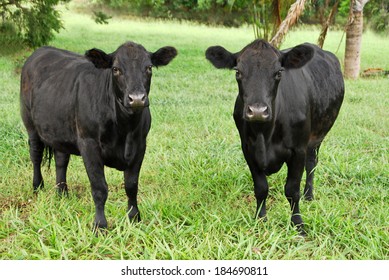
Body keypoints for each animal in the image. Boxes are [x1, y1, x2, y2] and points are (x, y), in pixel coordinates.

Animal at [21, 41, 176, 230]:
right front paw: (100, 225)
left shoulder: (140, 145)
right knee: (35, 156)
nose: (137, 98)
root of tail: (42, 50)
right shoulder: (89, 144)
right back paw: (37, 187)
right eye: (116, 69)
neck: (124, 129)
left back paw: (62, 193)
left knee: (61, 160)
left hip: (60, 129)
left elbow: (131, 186)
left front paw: (134, 218)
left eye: (149, 68)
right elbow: (99, 188)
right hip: (30, 124)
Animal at [206, 40, 342, 234]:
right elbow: (261, 188)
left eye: (278, 73)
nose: (257, 111)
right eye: (238, 72)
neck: (265, 135)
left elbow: (292, 190)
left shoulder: (298, 150)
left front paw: (298, 224)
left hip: (317, 137)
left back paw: (309, 195)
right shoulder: (248, 149)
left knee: (311, 164)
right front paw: (260, 220)